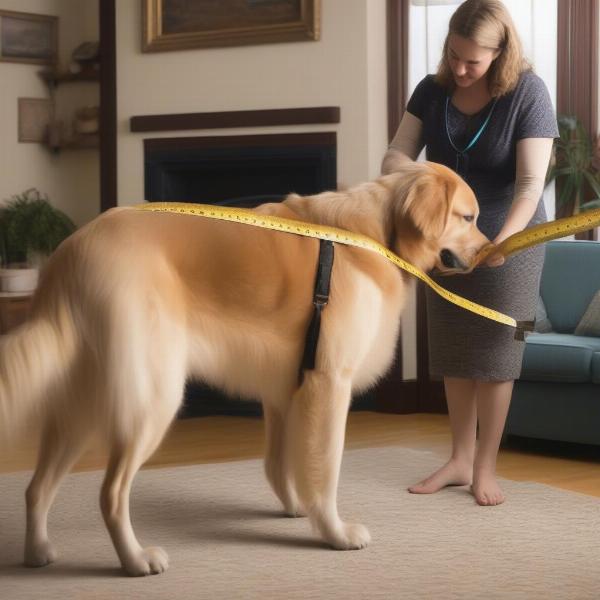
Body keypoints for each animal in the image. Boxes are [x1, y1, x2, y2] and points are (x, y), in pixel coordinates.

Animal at [0, 161, 488, 576]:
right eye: (467, 217)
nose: (490, 254)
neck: (378, 234)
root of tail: (70, 253)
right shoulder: (329, 382)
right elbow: (325, 470)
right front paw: (333, 532)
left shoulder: (286, 388)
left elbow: (279, 464)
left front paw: (298, 509)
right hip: (153, 397)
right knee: (110, 494)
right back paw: (135, 560)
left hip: (82, 404)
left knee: (36, 487)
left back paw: (37, 551)